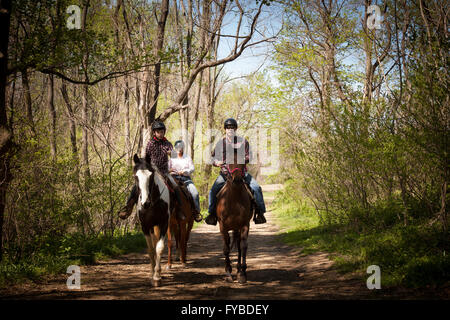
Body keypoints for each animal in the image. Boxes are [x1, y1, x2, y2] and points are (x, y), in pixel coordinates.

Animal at [215, 152, 253, 282]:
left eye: (243, 160)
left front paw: (242, 273)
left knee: (240, 246)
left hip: (238, 228)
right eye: (229, 160)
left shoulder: (245, 225)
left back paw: (239, 269)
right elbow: (226, 248)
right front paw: (228, 272)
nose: (236, 180)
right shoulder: (223, 227)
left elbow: (243, 246)